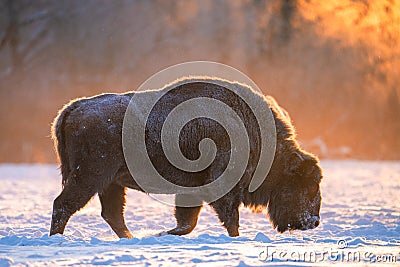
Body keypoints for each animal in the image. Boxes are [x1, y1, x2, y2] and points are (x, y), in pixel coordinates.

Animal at [49, 77, 322, 239]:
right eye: (304, 184)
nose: (313, 221)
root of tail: (74, 107)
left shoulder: (191, 191)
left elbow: (187, 220)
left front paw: (165, 233)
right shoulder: (223, 188)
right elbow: (228, 216)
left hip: (110, 183)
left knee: (112, 214)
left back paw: (130, 238)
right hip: (90, 177)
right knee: (63, 205)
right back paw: (57, 238)